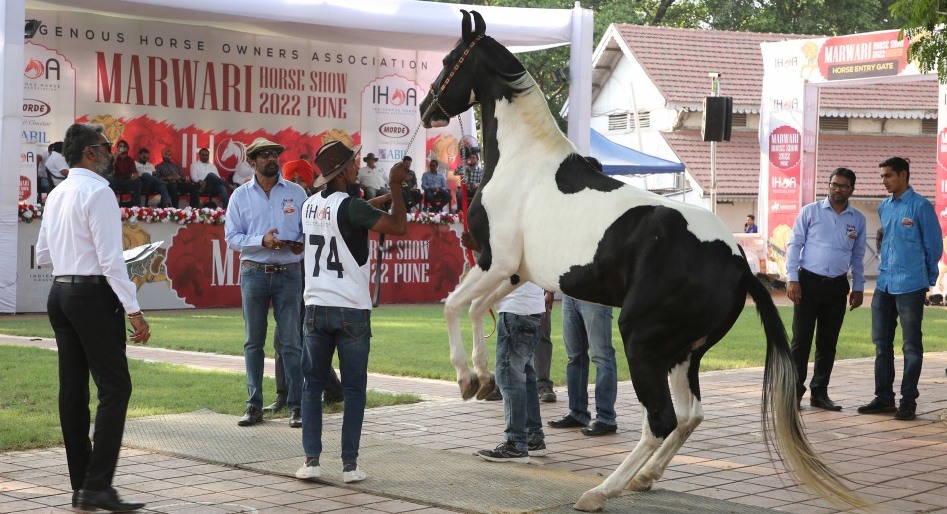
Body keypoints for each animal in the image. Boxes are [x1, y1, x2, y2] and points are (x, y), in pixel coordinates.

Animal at [422, 10, 872, 510]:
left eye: (448, 60)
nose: (426, 109)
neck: (525, 162)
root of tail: (737, 262)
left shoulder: (494, 262)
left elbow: (453, 305)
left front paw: (466, 378)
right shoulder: (512, 271)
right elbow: (476, 309)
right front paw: (481, 377)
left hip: (641, 340)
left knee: (661, 419)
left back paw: (601, 490)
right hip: (682, 352)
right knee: (689, 414)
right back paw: (644, 478)